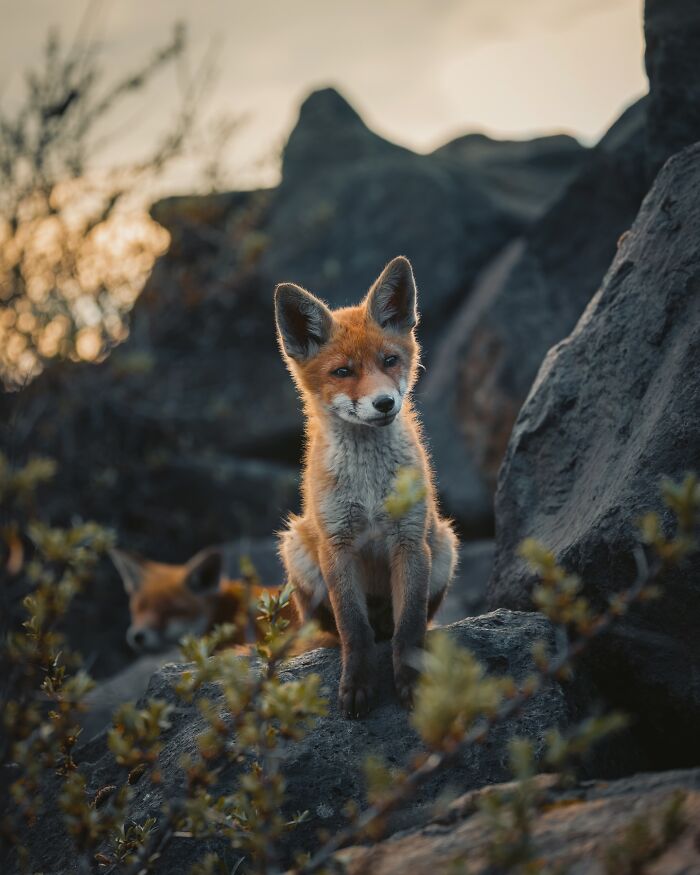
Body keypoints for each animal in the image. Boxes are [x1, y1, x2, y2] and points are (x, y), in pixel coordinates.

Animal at [275, 255, 458, 718]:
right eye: (343, 372)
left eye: (389, 360)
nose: (384, 403)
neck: (371, 488)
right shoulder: (337, 547)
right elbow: (353, 629)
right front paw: (357, 684)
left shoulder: (410, 541)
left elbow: (409, 628)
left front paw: (410, 682)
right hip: (297, 548)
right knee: (341, 630)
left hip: (444, 546)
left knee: (402, 624)